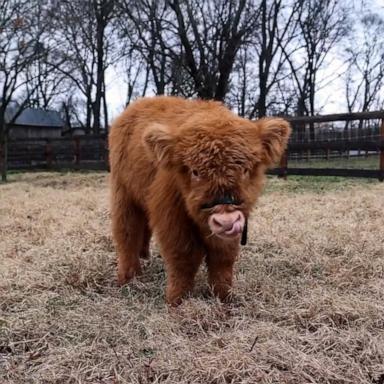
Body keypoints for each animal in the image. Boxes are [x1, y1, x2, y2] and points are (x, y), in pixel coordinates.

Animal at [109, 97, 292, 306]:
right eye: (195, 171)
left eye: (245, 169)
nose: (226, 221)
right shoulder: (171, 216)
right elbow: (183, 257)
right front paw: (177, 300)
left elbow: (223, 259)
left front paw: (223, 297)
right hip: (123, 193)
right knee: (127, 232)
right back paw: (128, 277)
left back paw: (144, 256)